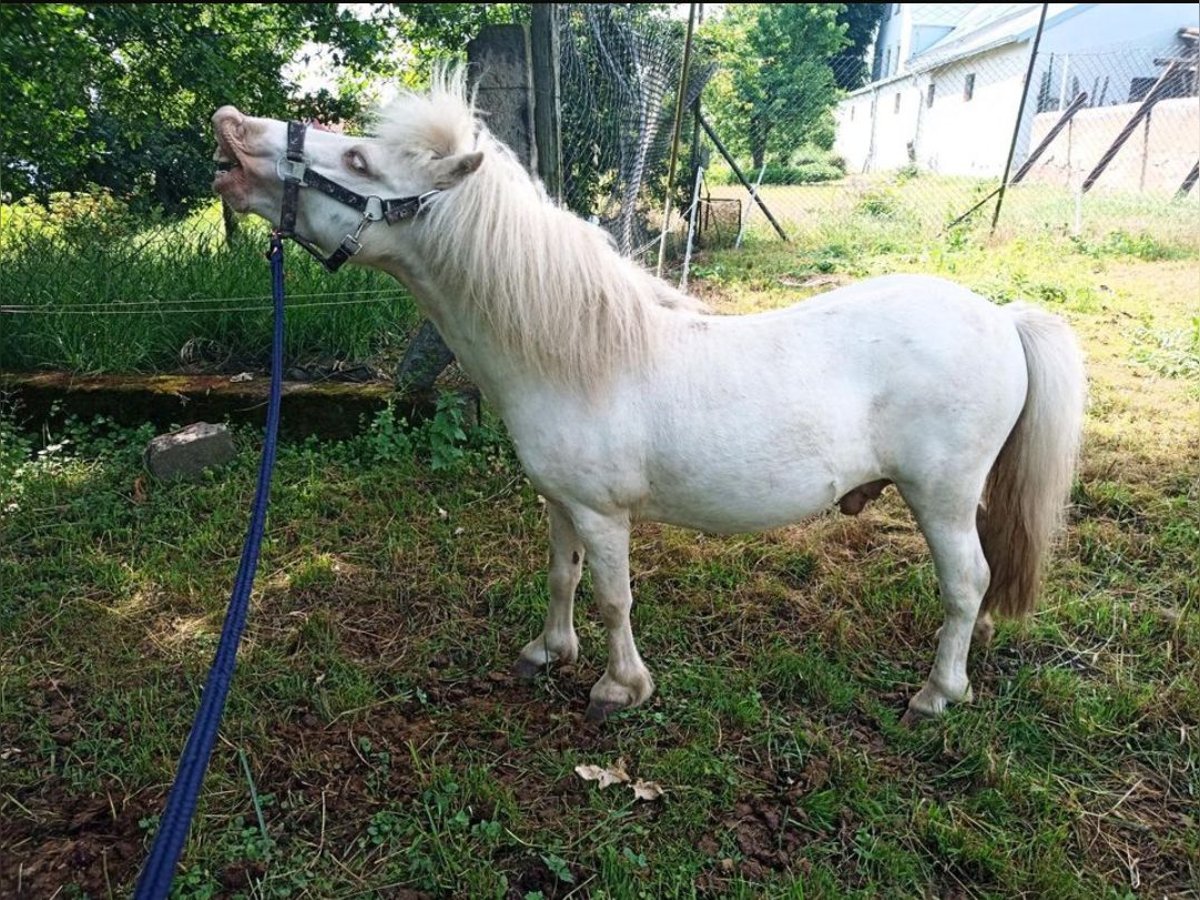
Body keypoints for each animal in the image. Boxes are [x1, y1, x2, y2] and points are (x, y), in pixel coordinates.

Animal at [216, 68, 1089, 724]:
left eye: (360, 161)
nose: (231, 131)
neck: (570, 353)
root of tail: (1002, 317)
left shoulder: (604, 513)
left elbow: (612, 597)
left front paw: (619, 687)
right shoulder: (560, 502)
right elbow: (562, 577)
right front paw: (548, 652)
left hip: (941, 497)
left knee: (965, 584)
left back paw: (936, 694)